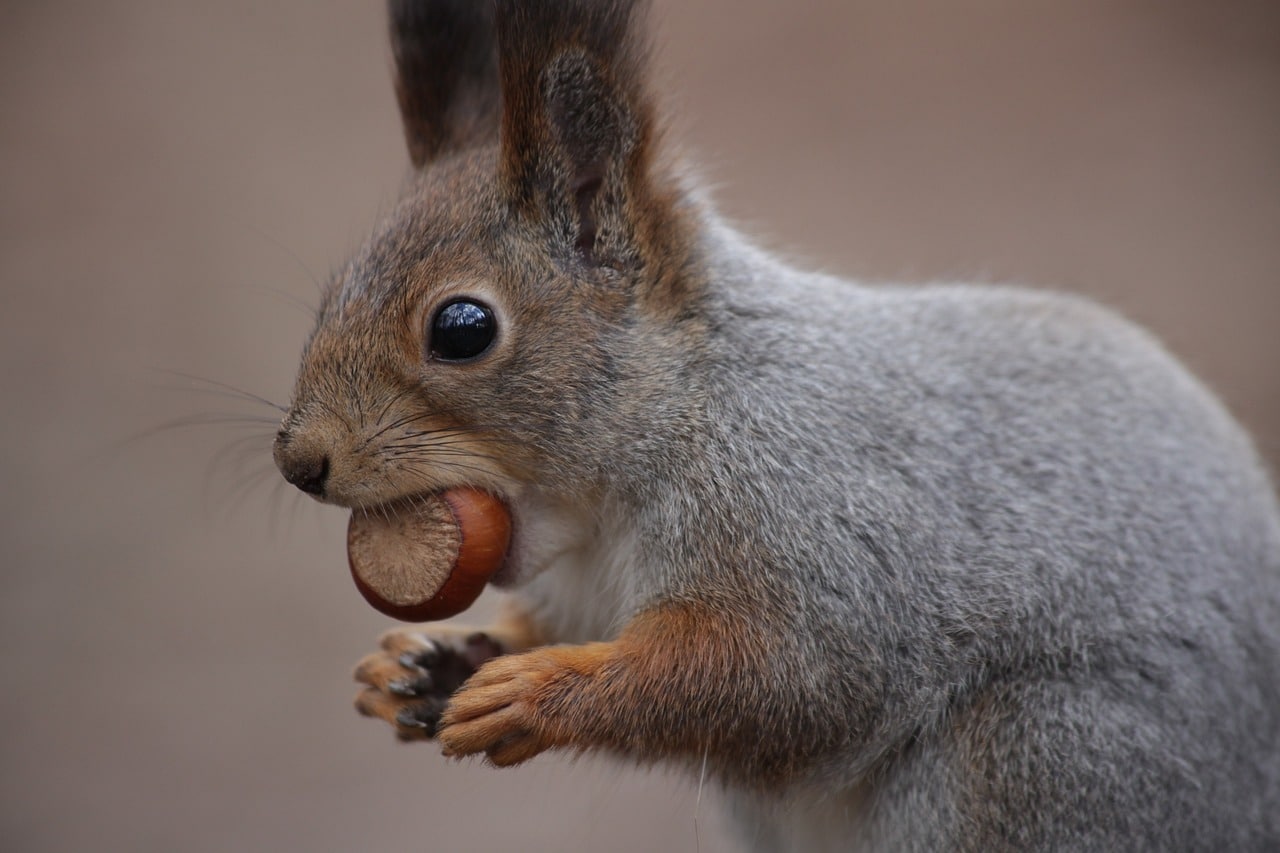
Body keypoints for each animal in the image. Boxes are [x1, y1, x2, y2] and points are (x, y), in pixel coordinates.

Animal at [272, 3, 1280, 845]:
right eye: (333, 292)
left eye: (462, 328)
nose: (300, 461)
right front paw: (423, 665)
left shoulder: (810, 521)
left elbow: (781, 676)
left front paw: (538, 692)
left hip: (1046, 756)